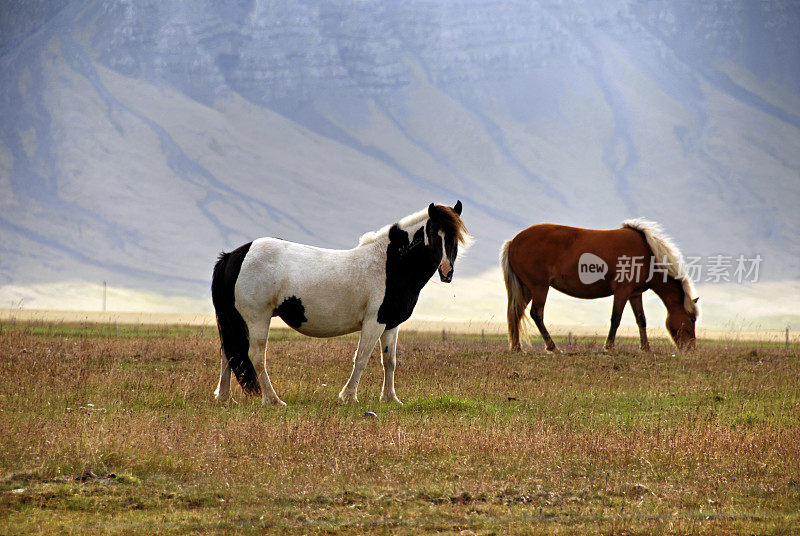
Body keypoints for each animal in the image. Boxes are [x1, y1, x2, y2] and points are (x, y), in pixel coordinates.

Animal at [209, 203, 468, 404]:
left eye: (455, 236)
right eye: (433, 233)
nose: (447, 272)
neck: (389, 265)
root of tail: (234, 255)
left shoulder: (391, 324)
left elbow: (389, 361)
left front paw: (390, 398)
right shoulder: (374, 322)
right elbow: (361, 358)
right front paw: (349, 396)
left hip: (235, 319)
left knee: (229, 353)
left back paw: (225, 397)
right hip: (257, 318)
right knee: (255, 355)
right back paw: (272, 399)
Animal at [504, 218, 696, 352]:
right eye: (692, 319)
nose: (691, 348)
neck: (648, 254)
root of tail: (513, 241)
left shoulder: (635, 294)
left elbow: (641, 319)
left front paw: (646, 348)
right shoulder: (622, 291)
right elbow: (616, 318)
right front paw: (608, 347)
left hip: (527, 288)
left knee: (516, 313)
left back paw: (517, 348)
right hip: (539, 287)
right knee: (536, 314)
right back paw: (553, 347)